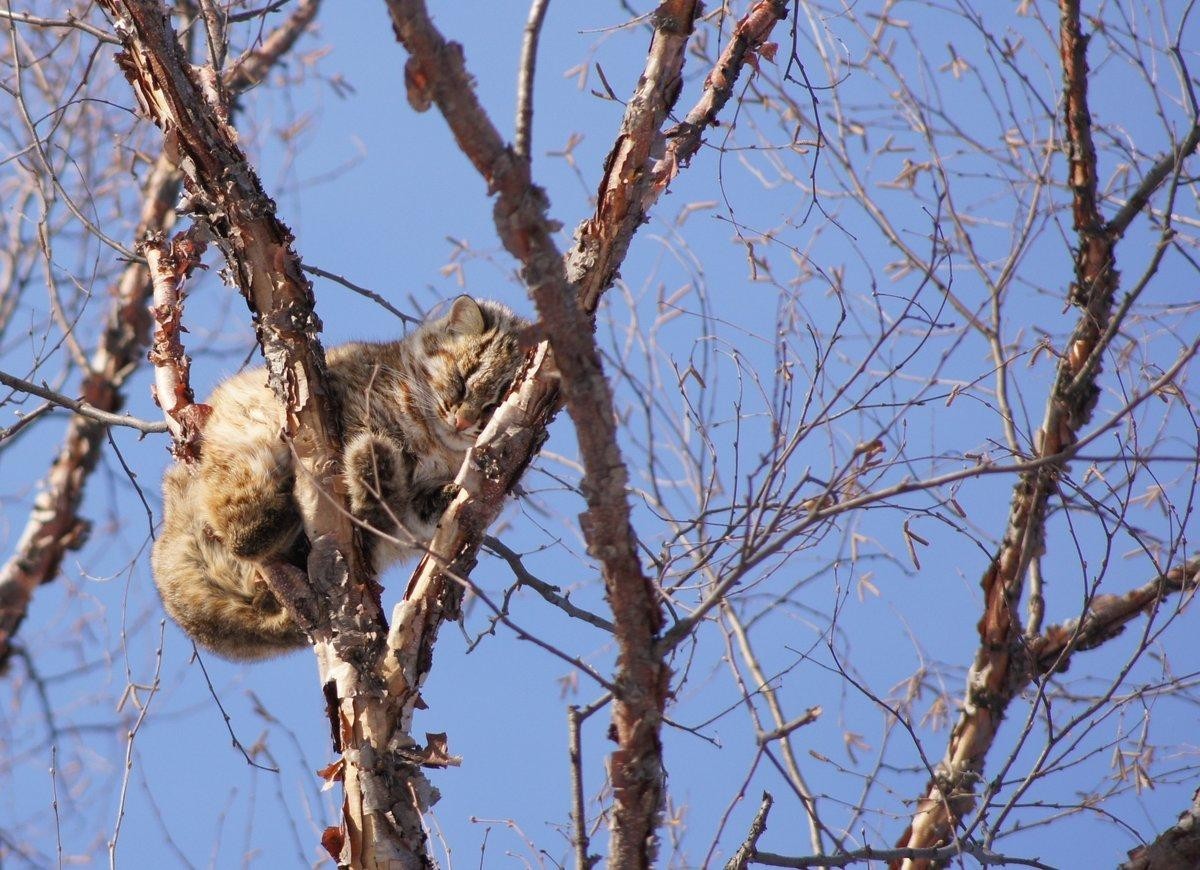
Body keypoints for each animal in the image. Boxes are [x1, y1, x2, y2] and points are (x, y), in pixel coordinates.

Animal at [152, 296, 528, 657]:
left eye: (496, 402)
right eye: (462, 380)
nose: (463, 422)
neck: (437, 442)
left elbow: (417, 506)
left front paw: (432, 494)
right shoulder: (354, 403)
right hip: (247, 443)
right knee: (244, 536)